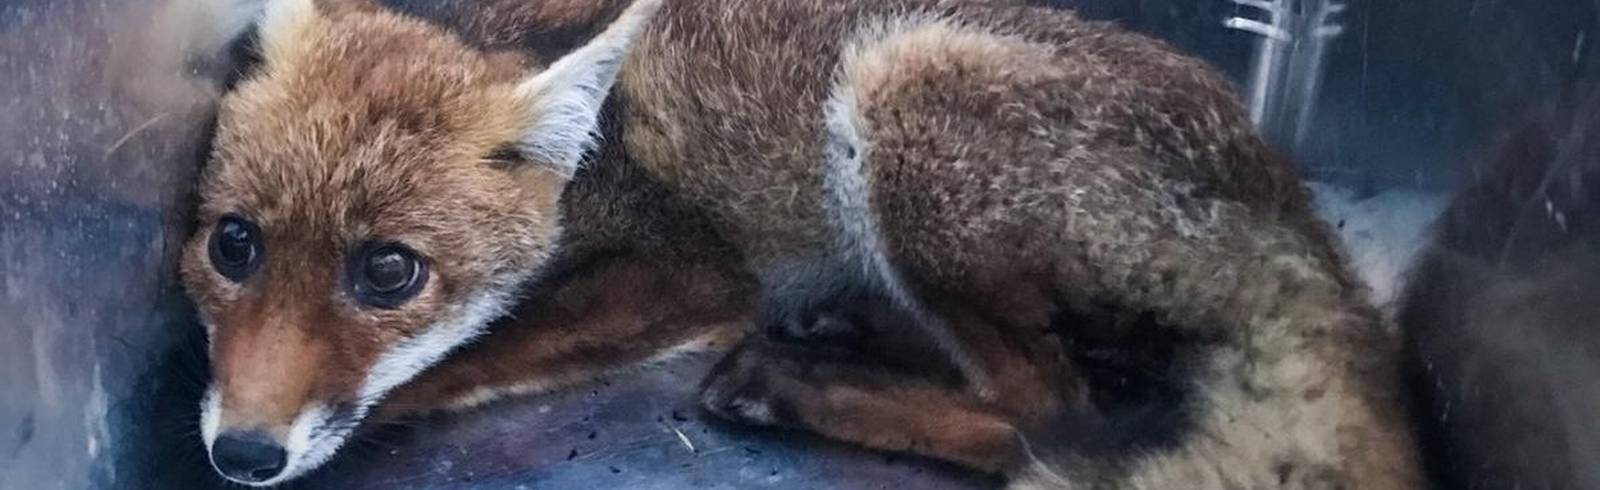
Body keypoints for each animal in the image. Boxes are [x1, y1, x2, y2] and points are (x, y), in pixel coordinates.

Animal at [177, 0, 1423, 488]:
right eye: (232, 246)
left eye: (388, 269)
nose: (243, 455)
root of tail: (1286, 193)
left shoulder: (693, 268)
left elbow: (469, 353)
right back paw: (838, 333)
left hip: (900, 90)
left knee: (1053, 414)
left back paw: (797, 384)